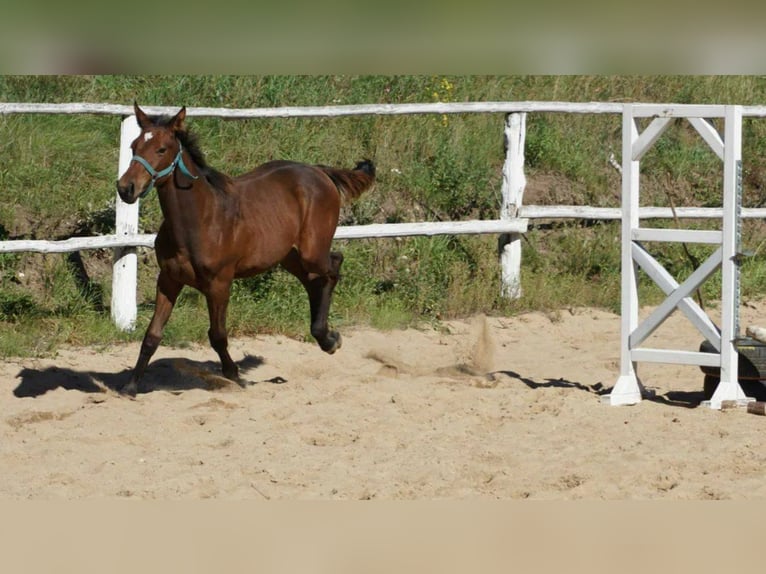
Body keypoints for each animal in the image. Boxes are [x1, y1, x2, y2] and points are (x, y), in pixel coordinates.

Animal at [116, 104, 376, 396]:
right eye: (134, 146)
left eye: (161, 149)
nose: (126, 188)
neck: (200, 219)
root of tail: (319, 170)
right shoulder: (169, 279)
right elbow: (152, 335)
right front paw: (131, 386)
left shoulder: (219, 283)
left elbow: (217, 335)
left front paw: (236, 377)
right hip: (287, 256)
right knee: (314, 280)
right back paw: (325, 337)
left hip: (312, 250)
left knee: (334, 265)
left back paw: (329, 339)